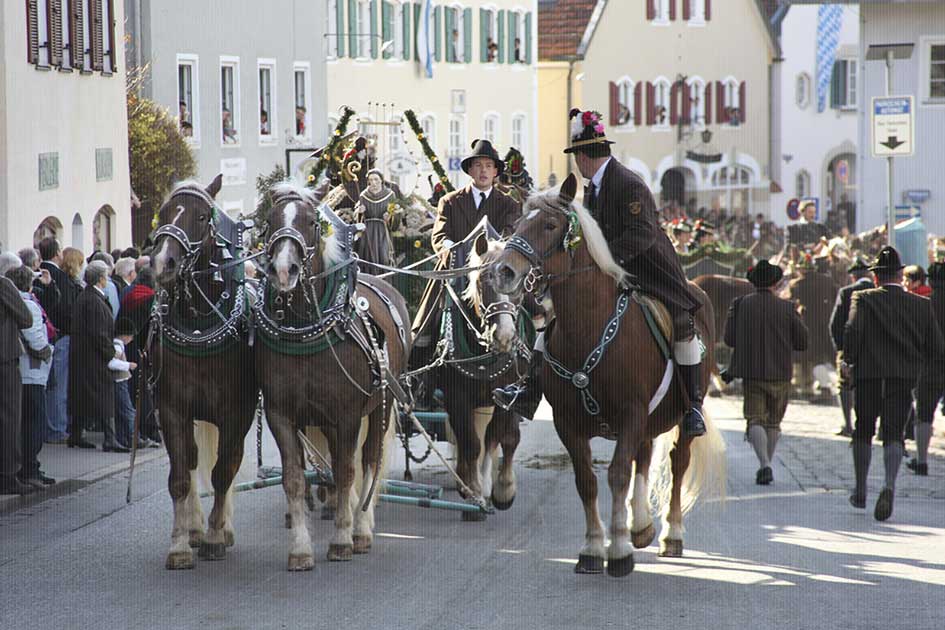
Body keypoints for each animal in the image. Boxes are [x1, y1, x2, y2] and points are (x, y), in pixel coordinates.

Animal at [153, 175, 260, 572]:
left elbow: (223, 472)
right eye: (164, 212)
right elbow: (181, 478)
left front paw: (216, 536)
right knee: (195, 461)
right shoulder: (171, 410)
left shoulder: (236, 413)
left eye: (201, 217)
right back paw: (196, 528)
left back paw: (219, 529)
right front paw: (181, 544)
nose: (163, 262)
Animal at [256, 180, 412, 572]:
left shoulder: (347, 415)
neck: (306, 332)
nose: (284, 270)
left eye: (312, 222)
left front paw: (343, 538)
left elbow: (346, 472)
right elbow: (294, 479)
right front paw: (300, 548)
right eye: (269, 221)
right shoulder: (282, 414)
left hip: (381, 406)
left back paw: (362, 527)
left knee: (369, 460)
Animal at [490, 175, 728, 580]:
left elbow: (617, 474)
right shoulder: (568, 422)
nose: (503, 271)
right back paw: (641, 525)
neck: (590, 326)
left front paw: (617, 552)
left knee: (677, 461)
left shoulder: (631, 413)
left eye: (550, 225)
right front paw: (591, 549)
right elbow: (586, 481)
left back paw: (671, 533)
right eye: (518, 224)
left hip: (680, 413)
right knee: (644, 457)